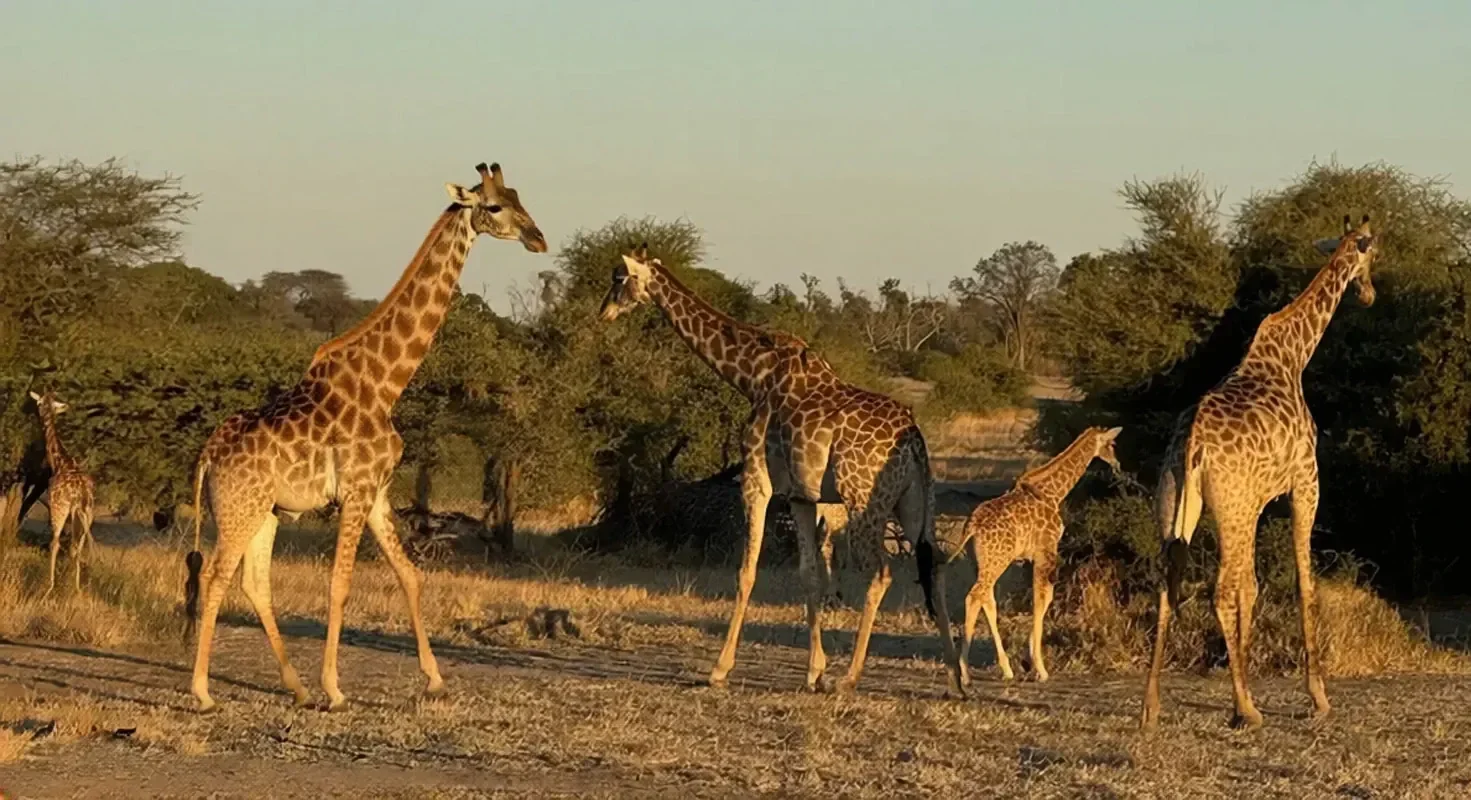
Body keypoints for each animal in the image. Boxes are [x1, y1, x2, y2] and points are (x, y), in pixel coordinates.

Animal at [28, 390, 96, 596]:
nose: (40, 414)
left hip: (62, 510)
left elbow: (55, 543)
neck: (60, 462)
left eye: (39, 402)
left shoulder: (53, 505)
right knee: (77, 546)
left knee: (56, 542)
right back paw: (77, 588)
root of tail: (81, 494)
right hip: (87, 514)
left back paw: (50, 586)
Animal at [184, 162, 547, 713]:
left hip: (265, 511)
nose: (538, 238)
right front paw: (335, 688)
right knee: (214, 576)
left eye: (520, 197)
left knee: (254, 583)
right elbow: (339, 584)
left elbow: (410, 575)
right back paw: (204, 691)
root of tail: (207, 454)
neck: (384, 385)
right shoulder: (355, 491)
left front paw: (434, 679)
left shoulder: (377, 491)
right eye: (494, 206)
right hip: (238, 508)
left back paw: (295, 686)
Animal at [600, 245, 965, 696]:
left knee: (880, 574)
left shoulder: (756, 480)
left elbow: (746, 571)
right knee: (936, 565)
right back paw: (957, 676)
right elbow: (809, 575)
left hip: (865, 501)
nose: (604, 311)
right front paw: (813, 671)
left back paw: (851, 676)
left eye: (619, 278)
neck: (751, 376)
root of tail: (914, 438)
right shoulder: (801, 496)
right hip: (914, 502)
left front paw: (720, 669)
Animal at [939, 426, 1120, 686]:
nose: (1117, 463)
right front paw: (1040, 668)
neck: (1053, 492)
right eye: (1112, 444)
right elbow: (1042, 598)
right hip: (997, 561)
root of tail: (971, 527)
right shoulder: (1046, 550)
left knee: (987, 599)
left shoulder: (1035, 556)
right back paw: (965, 671)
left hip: (980, 562)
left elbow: (1043, 598)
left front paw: (1031, 662)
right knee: (974, 597)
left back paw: (1005, 669)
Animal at [1141, 215, 1379, 730]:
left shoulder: (1259, 501)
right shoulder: (1305, 483)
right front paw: (1317, 697)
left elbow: (1253, 588)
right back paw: (1248, 710)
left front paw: (1244, 690)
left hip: (1178, 504)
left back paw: (1151, 708)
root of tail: (1191, 444)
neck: (1293, 355)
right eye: (1372, 253)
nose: (1369, 293)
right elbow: (1304, 581)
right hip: (1230, 506)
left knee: (1170, 586)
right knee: (1218, 589)